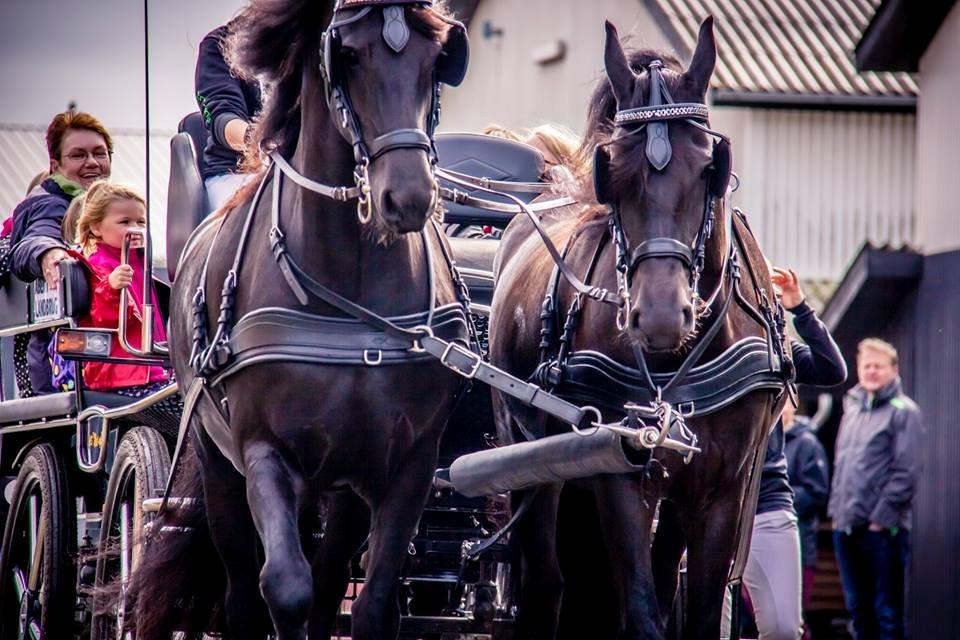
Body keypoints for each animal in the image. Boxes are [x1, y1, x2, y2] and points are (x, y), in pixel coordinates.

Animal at [125, 2, 470, 636]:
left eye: (438, 59)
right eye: (347, 55)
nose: (408, 197)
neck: (352, 300)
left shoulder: (408, 463)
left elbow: (372, 602)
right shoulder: (263, 450)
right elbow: (284, 589)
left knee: (331, 578)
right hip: (218, 464)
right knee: (242, 590)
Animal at [488, 17, 788, 636]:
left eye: (710, 168)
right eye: (615, 172)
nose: (659, 317)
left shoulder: (722, 489)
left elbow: (696, 611)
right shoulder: (622, 474)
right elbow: (643, 611)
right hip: (526, 450)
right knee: (545, 583)